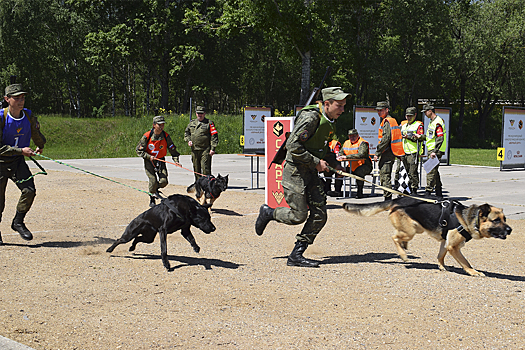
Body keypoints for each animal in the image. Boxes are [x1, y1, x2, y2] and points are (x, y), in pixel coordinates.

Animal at [342, 197, 510, 276]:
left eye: (505, 219)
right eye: (496, 220)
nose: (510, 230)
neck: (469, 219)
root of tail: (396, 200)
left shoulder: (445, 243)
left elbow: (440, 256)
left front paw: (441, 267)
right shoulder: (453, 247)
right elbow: (465, 262)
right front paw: (474, 272)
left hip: (414, 229)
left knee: (398, 237)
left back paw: (404, 248)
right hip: (411, 231)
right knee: (394, 237)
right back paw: (403, 255)